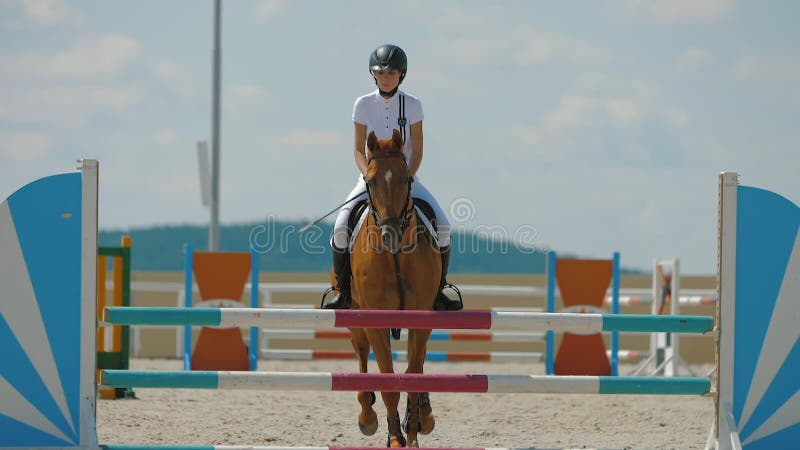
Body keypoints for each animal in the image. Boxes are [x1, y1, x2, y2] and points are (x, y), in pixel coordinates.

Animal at [340, 129, 440, 446]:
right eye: (370, 180)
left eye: (407, 178)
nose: (391, 235)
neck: (395, 257)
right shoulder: (375, 318)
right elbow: (388, 381)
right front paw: (395, 437)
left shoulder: (421, 315)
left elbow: (412, 374)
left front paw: (414, 432)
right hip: (353, 310)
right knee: (360, 350)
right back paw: (367, 415)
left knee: (416, 360)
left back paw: (423, 415)